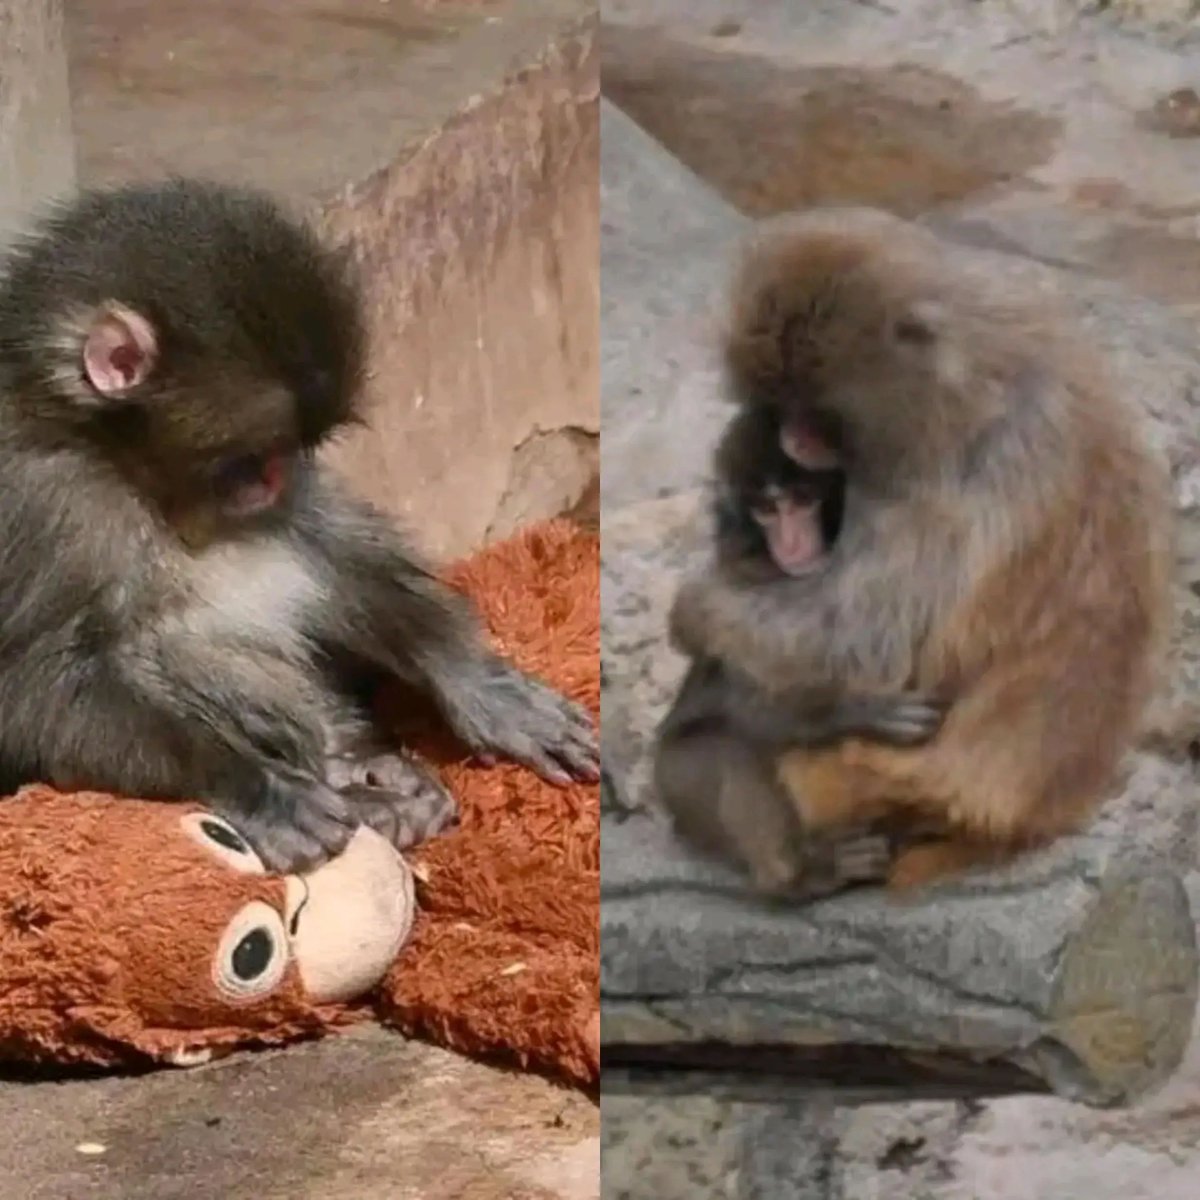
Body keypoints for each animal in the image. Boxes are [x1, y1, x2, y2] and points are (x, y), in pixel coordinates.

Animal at [0, 178, 599, 872]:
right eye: (247, 460)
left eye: (290, 451)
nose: (275, 481)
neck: (115, 462)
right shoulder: (42, 504)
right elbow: (32, 686)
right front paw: (254, 786)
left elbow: (325, 543)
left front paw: (476, 678)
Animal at [668, 207, 1172, 891]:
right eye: (783, 403)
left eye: (814, 409)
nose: (794, 438)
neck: (974, 377)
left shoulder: (948, 473)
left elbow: (865, 636)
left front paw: (695, 609)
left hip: (842, 778)